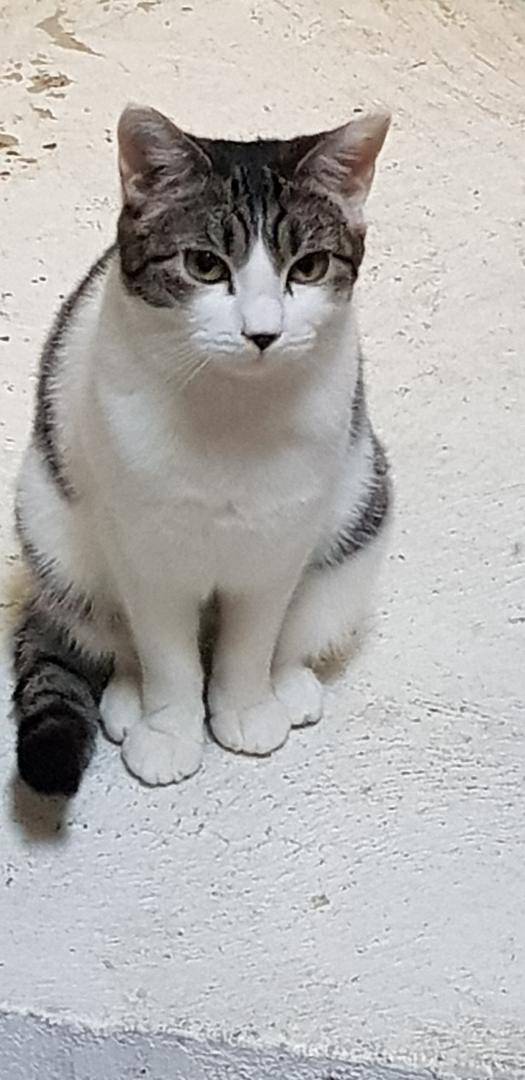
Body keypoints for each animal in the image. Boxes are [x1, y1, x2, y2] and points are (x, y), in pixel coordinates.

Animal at [12, 104, 391, 795]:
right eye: (205, 265)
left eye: (309, 267)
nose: (263, 333)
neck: (231, 414)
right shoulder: (145, 553)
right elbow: (167, 657)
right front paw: (169, 729)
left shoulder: (278, 543)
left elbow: (251, 642)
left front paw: (243, 706)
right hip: (53, 534)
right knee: (114, 637)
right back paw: (128, 700)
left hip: (357, 521)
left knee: (296, 628)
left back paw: (288, 685)